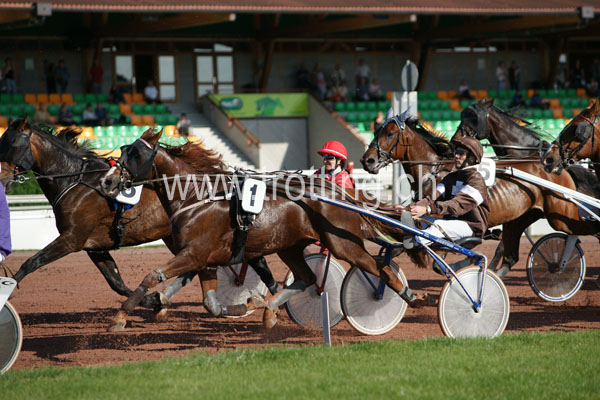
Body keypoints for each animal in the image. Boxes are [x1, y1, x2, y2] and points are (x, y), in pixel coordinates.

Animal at [0, 118, 273, 317]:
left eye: (11, 145)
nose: (2, 180)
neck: (76, 181)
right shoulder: (95, 247)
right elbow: (116, 282)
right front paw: (153, 300)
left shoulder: (72, 239)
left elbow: (31, 263)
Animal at [98, 128, 435, 332]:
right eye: (123, 149)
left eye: (135, 155)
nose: (107, 181)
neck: (198, 196)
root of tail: (339, 194)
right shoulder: (203, 259)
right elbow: (211, 303)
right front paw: (249, 303)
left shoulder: (194, 254)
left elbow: (151, 276)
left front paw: (120, 316)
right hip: (290, 247)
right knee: (307, 278)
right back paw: (270, 310)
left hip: (344, 244)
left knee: (380, 268)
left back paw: (410, 296)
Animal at [361, 115, 600, 277]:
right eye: (375, 131)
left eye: (390, 133)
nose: (367, 160)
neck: (435, 172)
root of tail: (559, 167)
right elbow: (404, 245)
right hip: (520, 219)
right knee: (510, 256)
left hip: (560, 216)